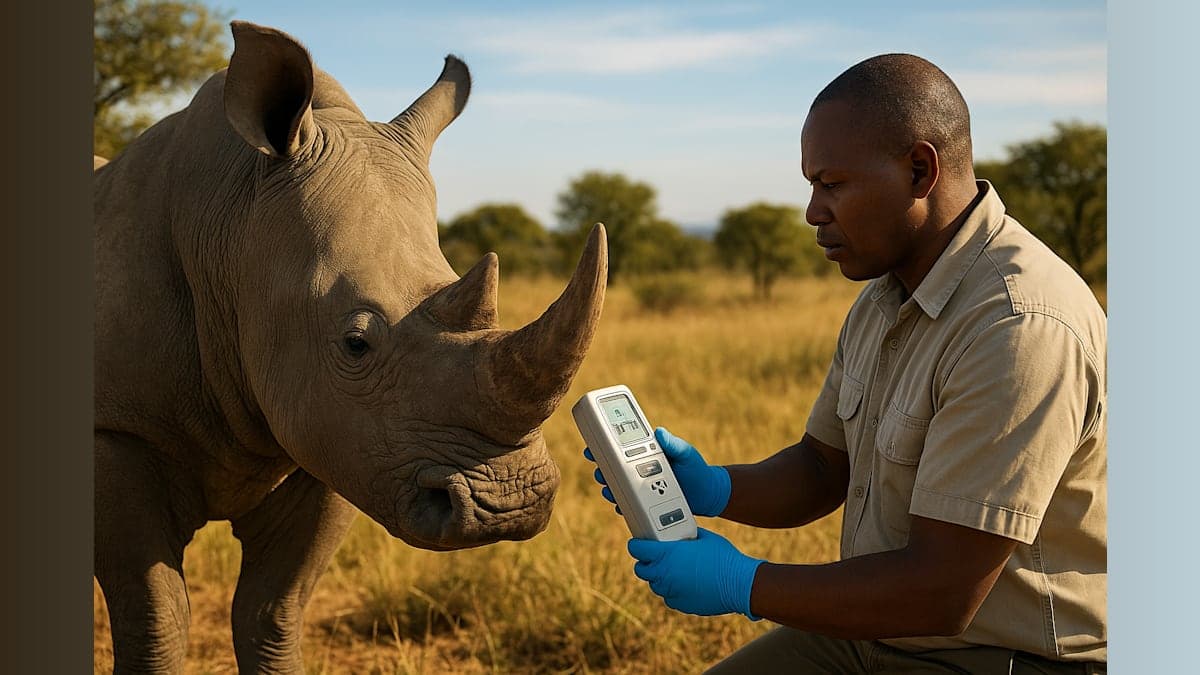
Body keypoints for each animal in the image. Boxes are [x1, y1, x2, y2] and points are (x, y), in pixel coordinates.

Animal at [94, 21, 607, 673]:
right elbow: (154, 619)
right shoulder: (114, 426)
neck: (230, 227)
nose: (511, 503)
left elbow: (273, 610)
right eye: (355, 343)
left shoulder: (338, 434)